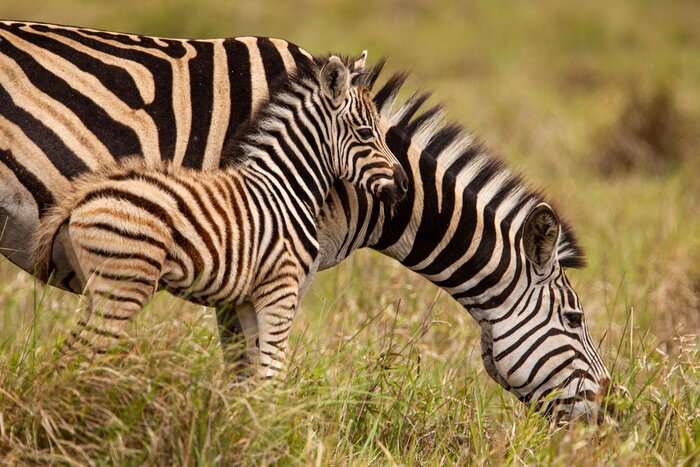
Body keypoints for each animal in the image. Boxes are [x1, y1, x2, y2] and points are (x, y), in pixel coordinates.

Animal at [31, 54, 407, 378]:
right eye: (365, 134)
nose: (404, 184)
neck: (286, 186)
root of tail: (83, 196)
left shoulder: (249, 298)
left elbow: (251, 374)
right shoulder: (281, 288)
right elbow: (272, 376)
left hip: (100, 289)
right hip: (124, 285)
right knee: (79, 359)